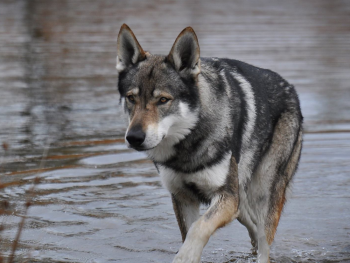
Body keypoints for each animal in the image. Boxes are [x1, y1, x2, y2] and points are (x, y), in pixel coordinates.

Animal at [116, 23, 302, 262]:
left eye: (163, 100)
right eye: (131, 98)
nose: (134, 137)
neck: (188, 146)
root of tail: (290, 87)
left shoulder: (225, 197)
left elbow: (198, 228)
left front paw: (185, 256)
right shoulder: (183, 197)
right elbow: (190, 230)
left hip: (263, 192)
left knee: (264, 243)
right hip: (240, 198)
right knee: (251, 227)